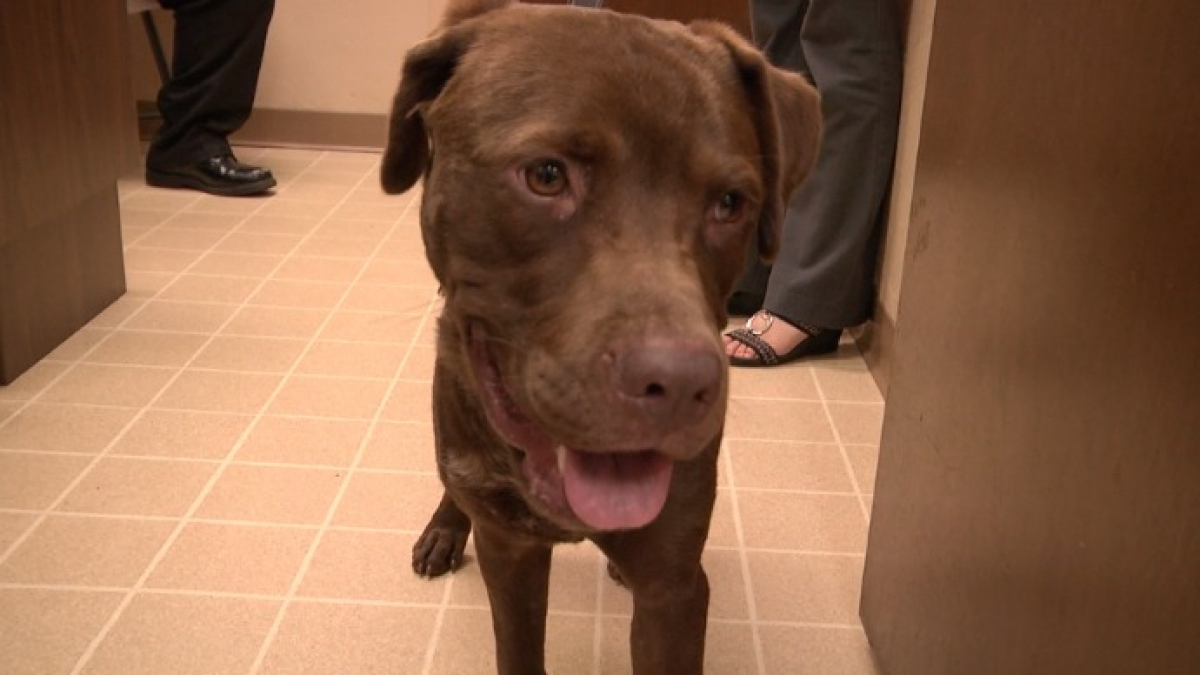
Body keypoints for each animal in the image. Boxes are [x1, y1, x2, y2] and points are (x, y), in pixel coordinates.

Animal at [379, 2, 820, 667]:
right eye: (545, 175)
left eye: (730, 202)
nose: (680, 385)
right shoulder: (510, 551)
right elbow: (517, 643)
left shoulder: (673, 585)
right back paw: (444, 528)